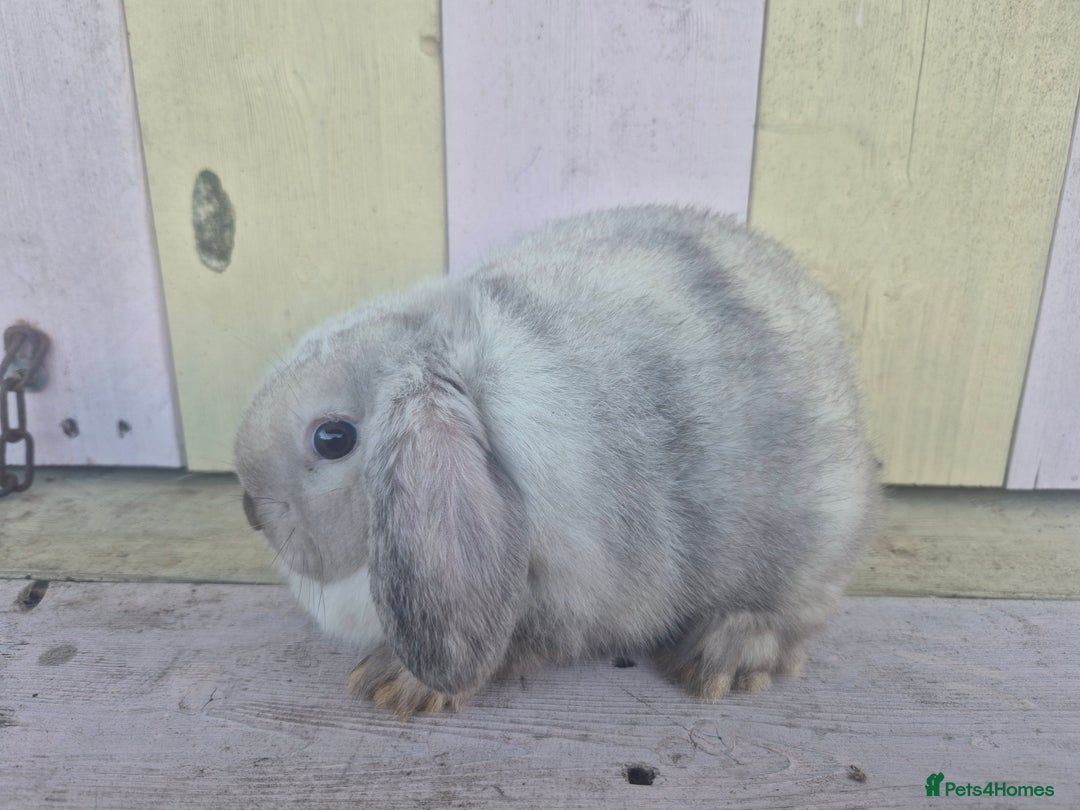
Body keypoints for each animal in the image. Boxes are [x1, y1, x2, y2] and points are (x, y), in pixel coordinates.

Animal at [234, 205, 879, 717]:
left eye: (332, 438)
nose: (249, 509)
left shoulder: (569, 595)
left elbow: (517, 645)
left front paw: (397, 682)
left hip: (813, 538)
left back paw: (726, 653)